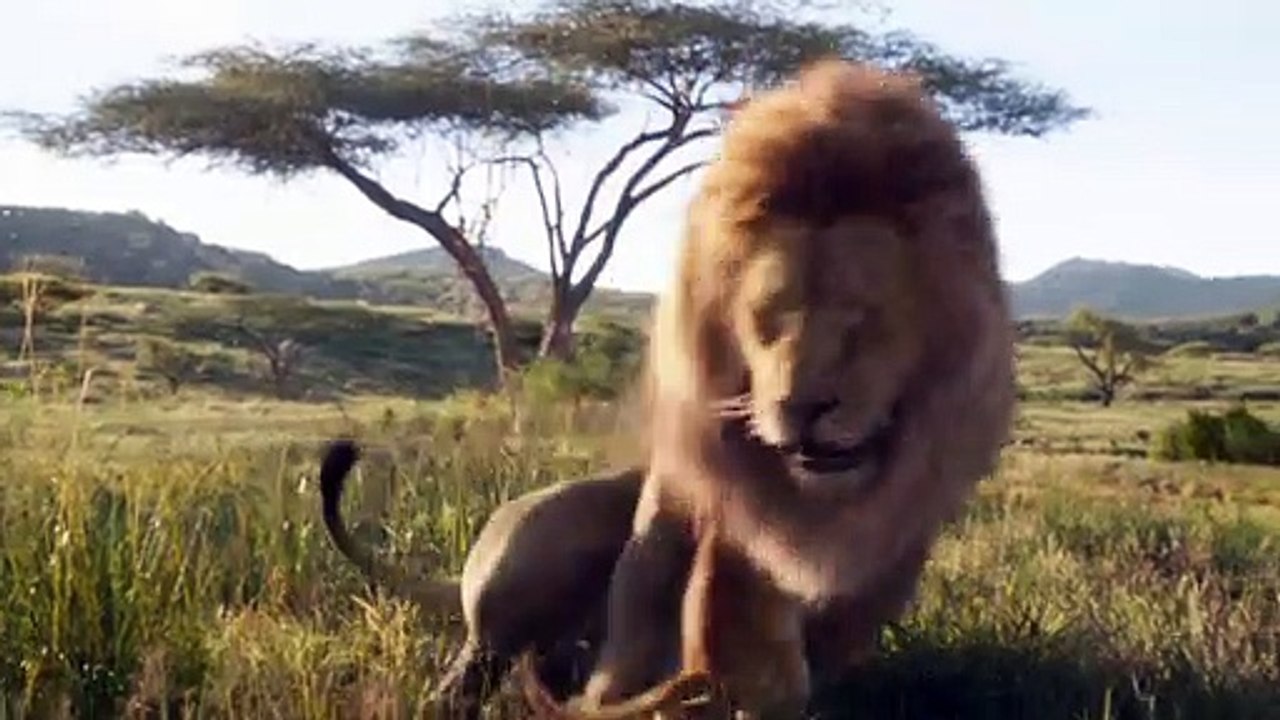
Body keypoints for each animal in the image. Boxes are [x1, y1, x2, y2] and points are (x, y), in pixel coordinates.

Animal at [525, 58, 1017, 717]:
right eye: (767, 318)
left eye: (860, 317)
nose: (800, 407)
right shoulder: (735, 531)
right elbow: (741, 629)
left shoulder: (899, 544)